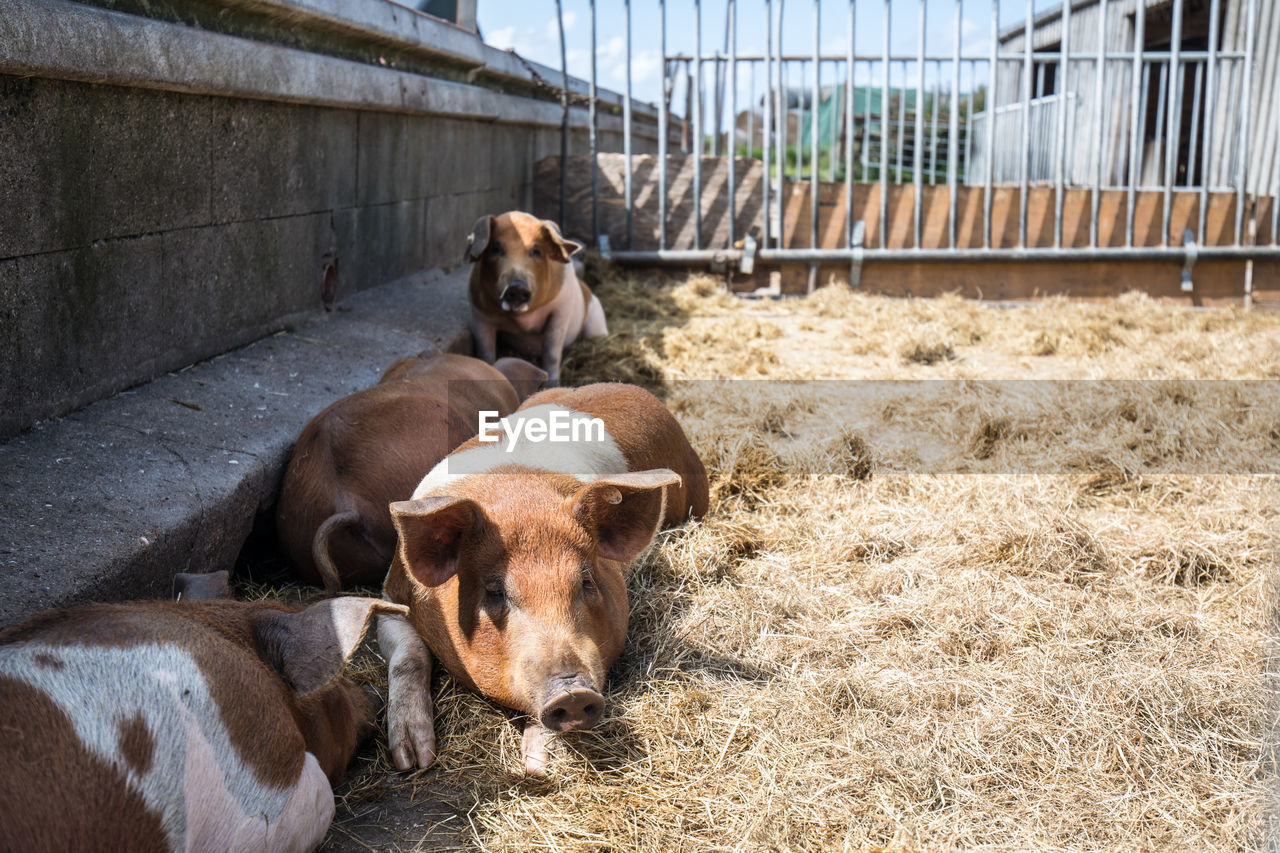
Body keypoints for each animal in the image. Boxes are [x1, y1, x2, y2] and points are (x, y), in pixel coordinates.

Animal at [373, 381, 711, 773]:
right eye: (495, 591)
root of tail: (632, 390)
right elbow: (409, 656)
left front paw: (537, 765)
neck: (517, 496)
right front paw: (413, 759)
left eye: (586, 583)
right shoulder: (392, 593)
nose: (573, 693)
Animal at [465, 212, 609, 384]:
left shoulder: (561, 309)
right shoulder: (478, 315)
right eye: (496, 248)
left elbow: (552, 351)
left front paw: (552, 385)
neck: (522, 320)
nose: (517, 287)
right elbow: (485, 352)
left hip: (596, 319)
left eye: (536, 251)